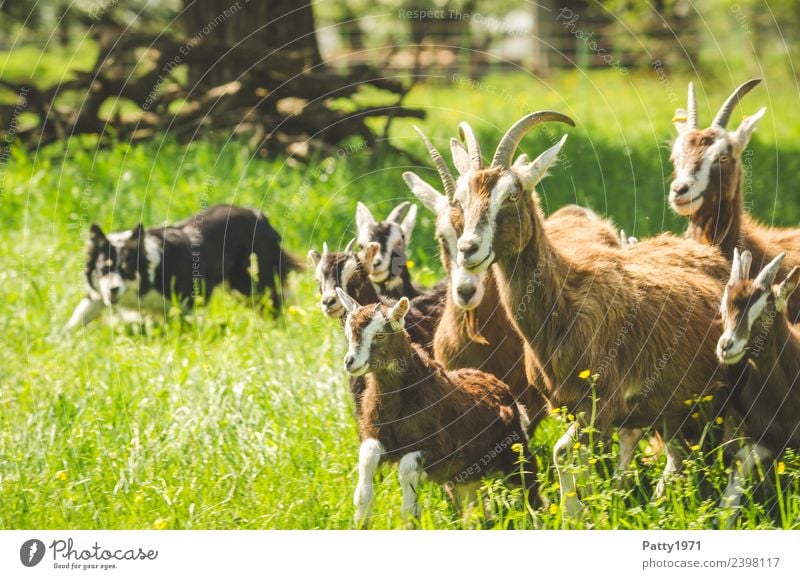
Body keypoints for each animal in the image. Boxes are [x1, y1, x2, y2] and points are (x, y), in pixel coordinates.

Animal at [450, 113, 732, 516]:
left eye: (511, 195)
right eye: (460, 200)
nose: (468, 249)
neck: (564, 303)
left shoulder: (603, 402)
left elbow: (562, 452)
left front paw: (573, 515)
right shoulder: (567, 406)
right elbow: (574, 460)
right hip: (675, 404)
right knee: (679, 455)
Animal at [720, 249, 800, 524]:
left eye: (766, 313)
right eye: (724, 310)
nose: (726, 346)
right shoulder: (765, 437)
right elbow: (740, 462)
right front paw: (724, 518)